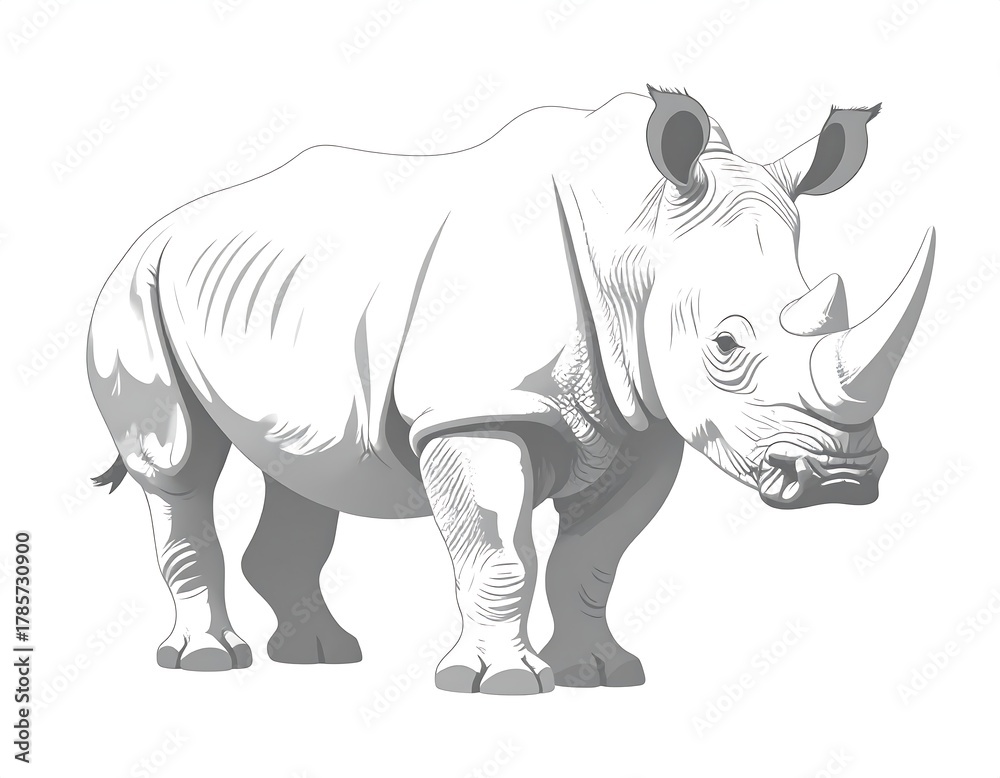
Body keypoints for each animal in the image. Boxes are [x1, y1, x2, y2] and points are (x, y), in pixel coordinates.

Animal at [88, 87, 935, 694]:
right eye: (726, 346)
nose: (842, 477)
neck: (637, 241)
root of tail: (157, 226)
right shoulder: (474, 411)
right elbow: (501, 552)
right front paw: (498, 684)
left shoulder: (644, 421)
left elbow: (592, 559)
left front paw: (601, 673)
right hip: (133, 287)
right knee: (178, 462)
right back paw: (207, 661)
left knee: (302, 466)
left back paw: (322, 656)